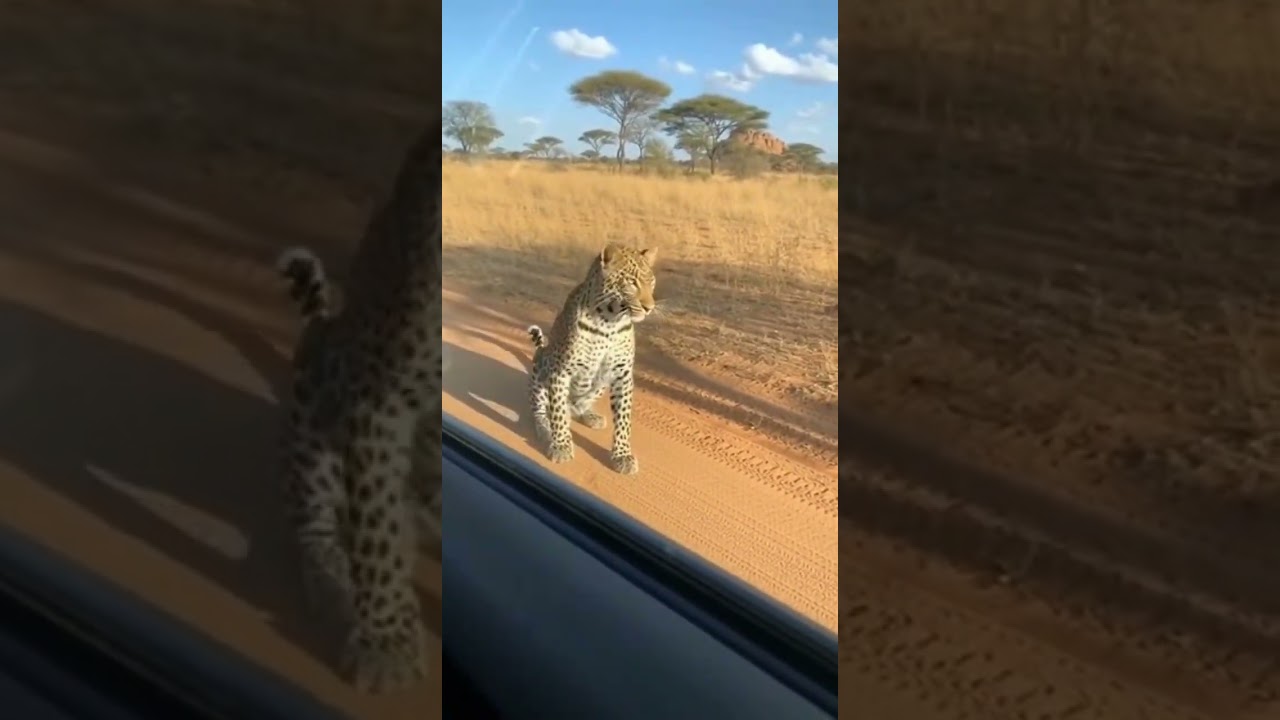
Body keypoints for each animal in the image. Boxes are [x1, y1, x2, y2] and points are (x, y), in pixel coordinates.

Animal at [274, 115, 442, 694]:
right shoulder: (381, 399)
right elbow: (377, 535)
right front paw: (388, 646)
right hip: (317, 396)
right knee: (314, 528)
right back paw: (335, 589)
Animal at [526, 243, 657, 476]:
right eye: (632, 283)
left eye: (651, 282)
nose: (649, 308)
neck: (609, 321)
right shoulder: (561, 371)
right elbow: (558, 413)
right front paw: (561, 446)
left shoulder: (622, 374)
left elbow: (623, 420)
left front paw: (622, 455)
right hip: (541, 364)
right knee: (542, 409)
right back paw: (545, 430)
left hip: (601, 384)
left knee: (579, 405)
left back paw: (588, 415)